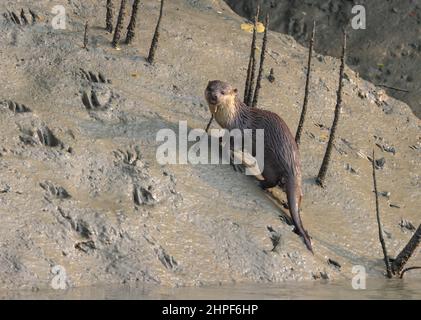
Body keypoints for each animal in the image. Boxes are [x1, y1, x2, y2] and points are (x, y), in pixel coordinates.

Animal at [204, 79, 312, 252]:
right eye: (210, 88)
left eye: (223, 92)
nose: (214, 95)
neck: (233, 118)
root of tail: (291, 161)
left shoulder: (238, 133)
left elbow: (231, 147)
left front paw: (234, 162)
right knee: (298, 193)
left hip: (268, 162)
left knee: (272, 180)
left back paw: (258, 181)